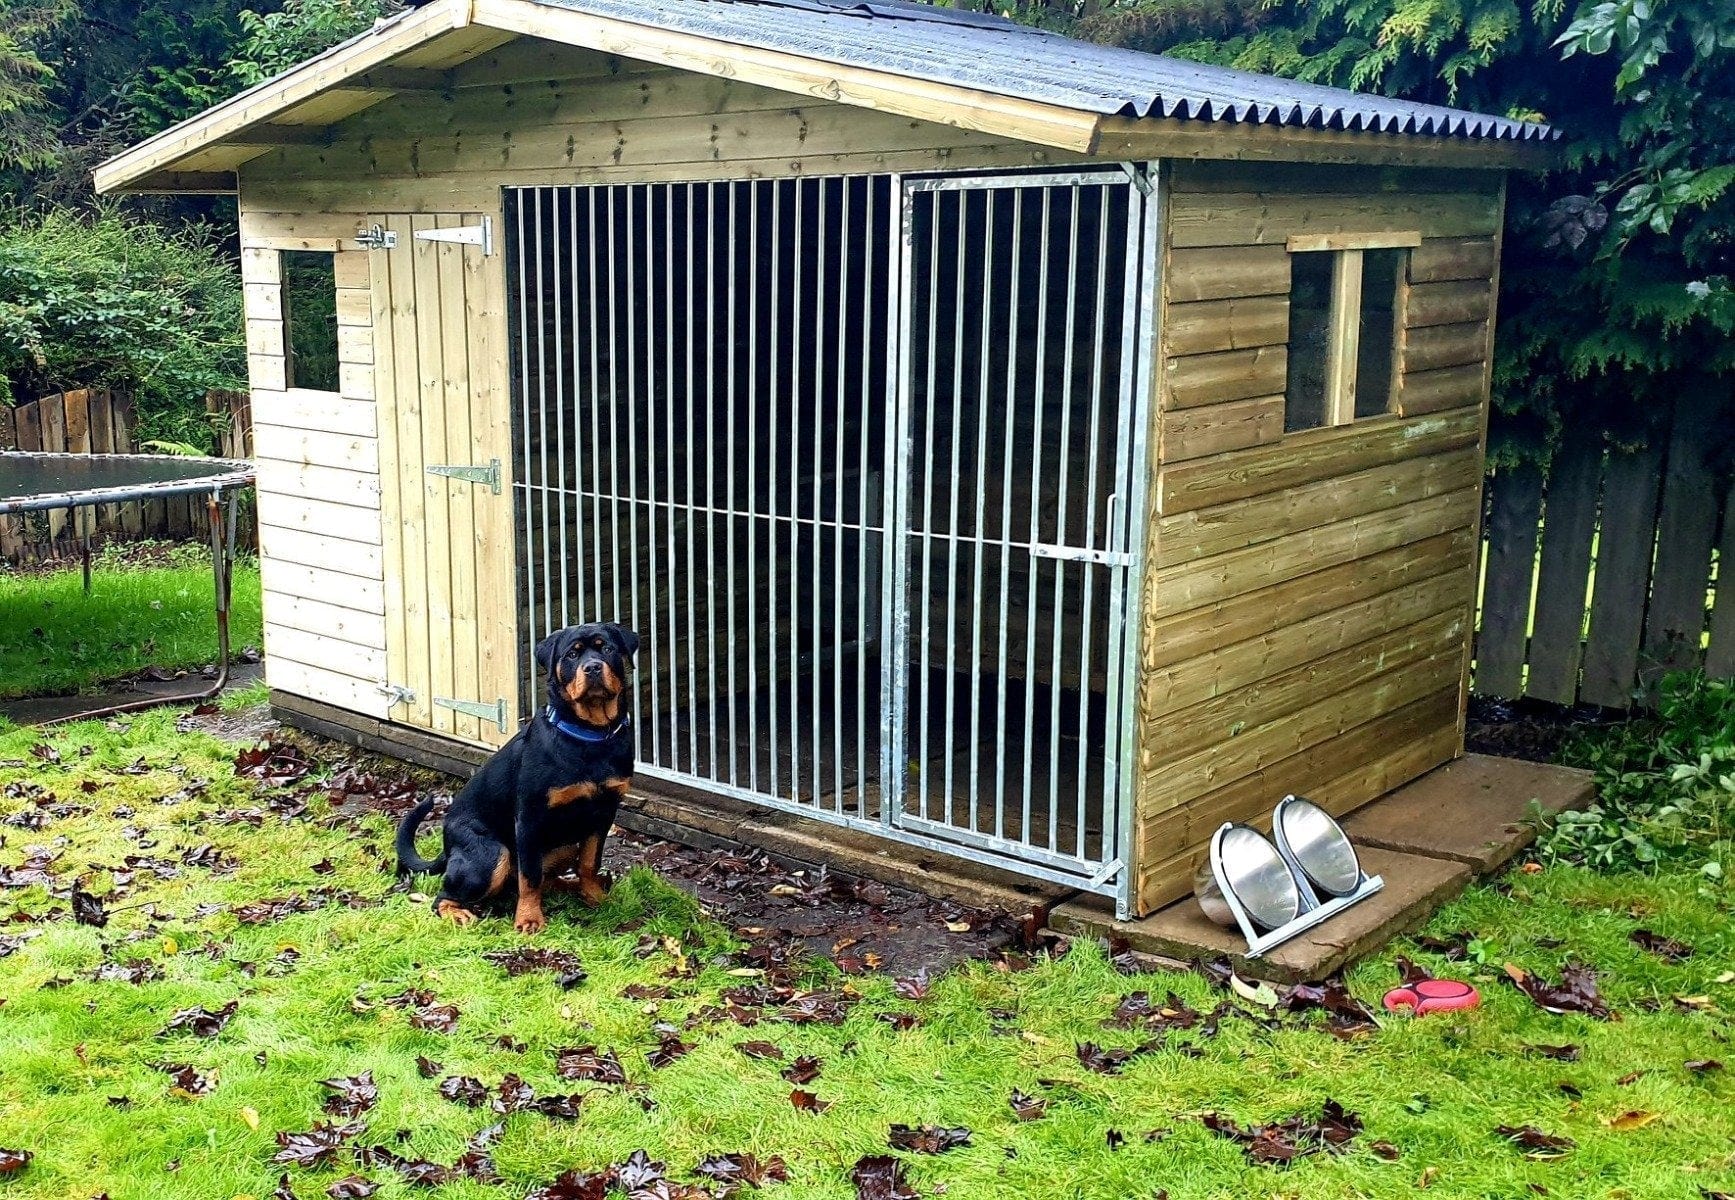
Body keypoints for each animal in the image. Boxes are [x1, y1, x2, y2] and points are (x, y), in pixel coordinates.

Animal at [393, 624, 638, 929]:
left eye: (607, 648)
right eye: (572, 654)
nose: (592, 667)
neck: (590, 736)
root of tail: (447, 849)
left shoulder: (603, 814)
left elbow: (589, 863)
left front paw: (595, 898)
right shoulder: (530, 819)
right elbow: (529, 876)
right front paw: (529, 919)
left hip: (565, 845)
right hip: (491, 854)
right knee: (445, 896)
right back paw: (460, 914)